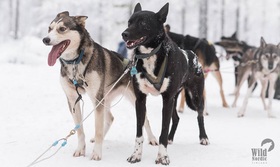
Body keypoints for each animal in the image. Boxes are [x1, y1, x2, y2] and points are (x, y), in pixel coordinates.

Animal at [42, 11, 158, 160]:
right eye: (49, 29)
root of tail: (132, 64)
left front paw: (96, 153)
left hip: (132, 99)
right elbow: (79, 130)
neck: (75, 63)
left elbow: (97, 129)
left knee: (145, 120)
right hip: (105, 99)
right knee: (110, 118)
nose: (45, 39)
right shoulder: (73, 100)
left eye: (62, 29)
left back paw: (152, 139)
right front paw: (80, 149)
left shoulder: (96, 99)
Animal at [121, 3, 209, 165]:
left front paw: (162, 156)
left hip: (196, 95)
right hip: (174, 98)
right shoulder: (141, 99)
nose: (124, 34)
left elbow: (163, 130)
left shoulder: (167, 99)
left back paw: (203, 137)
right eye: (129, 22)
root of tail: (193, 56)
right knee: (176, 118)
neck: (150, 55)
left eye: (143, 23)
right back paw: (170, 138)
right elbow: (139, 132)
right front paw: (136, 155)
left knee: (200, 115)